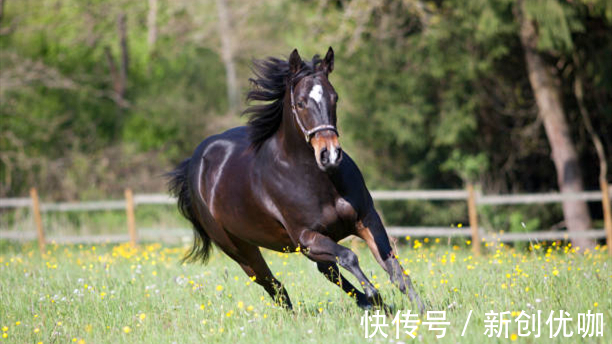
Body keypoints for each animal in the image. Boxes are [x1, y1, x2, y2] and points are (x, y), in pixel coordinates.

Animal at [169, 46, 426, 312]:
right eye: (301, 103)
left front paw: (421, 311)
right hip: (240, 249)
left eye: (335, 98)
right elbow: (350, 256)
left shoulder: (366, 220)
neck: (319, 181)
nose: (329, 154)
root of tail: (194, 164)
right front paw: (374, 294)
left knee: (324, 271)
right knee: (274, 285)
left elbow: (395, 270)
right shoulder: (307, 237)